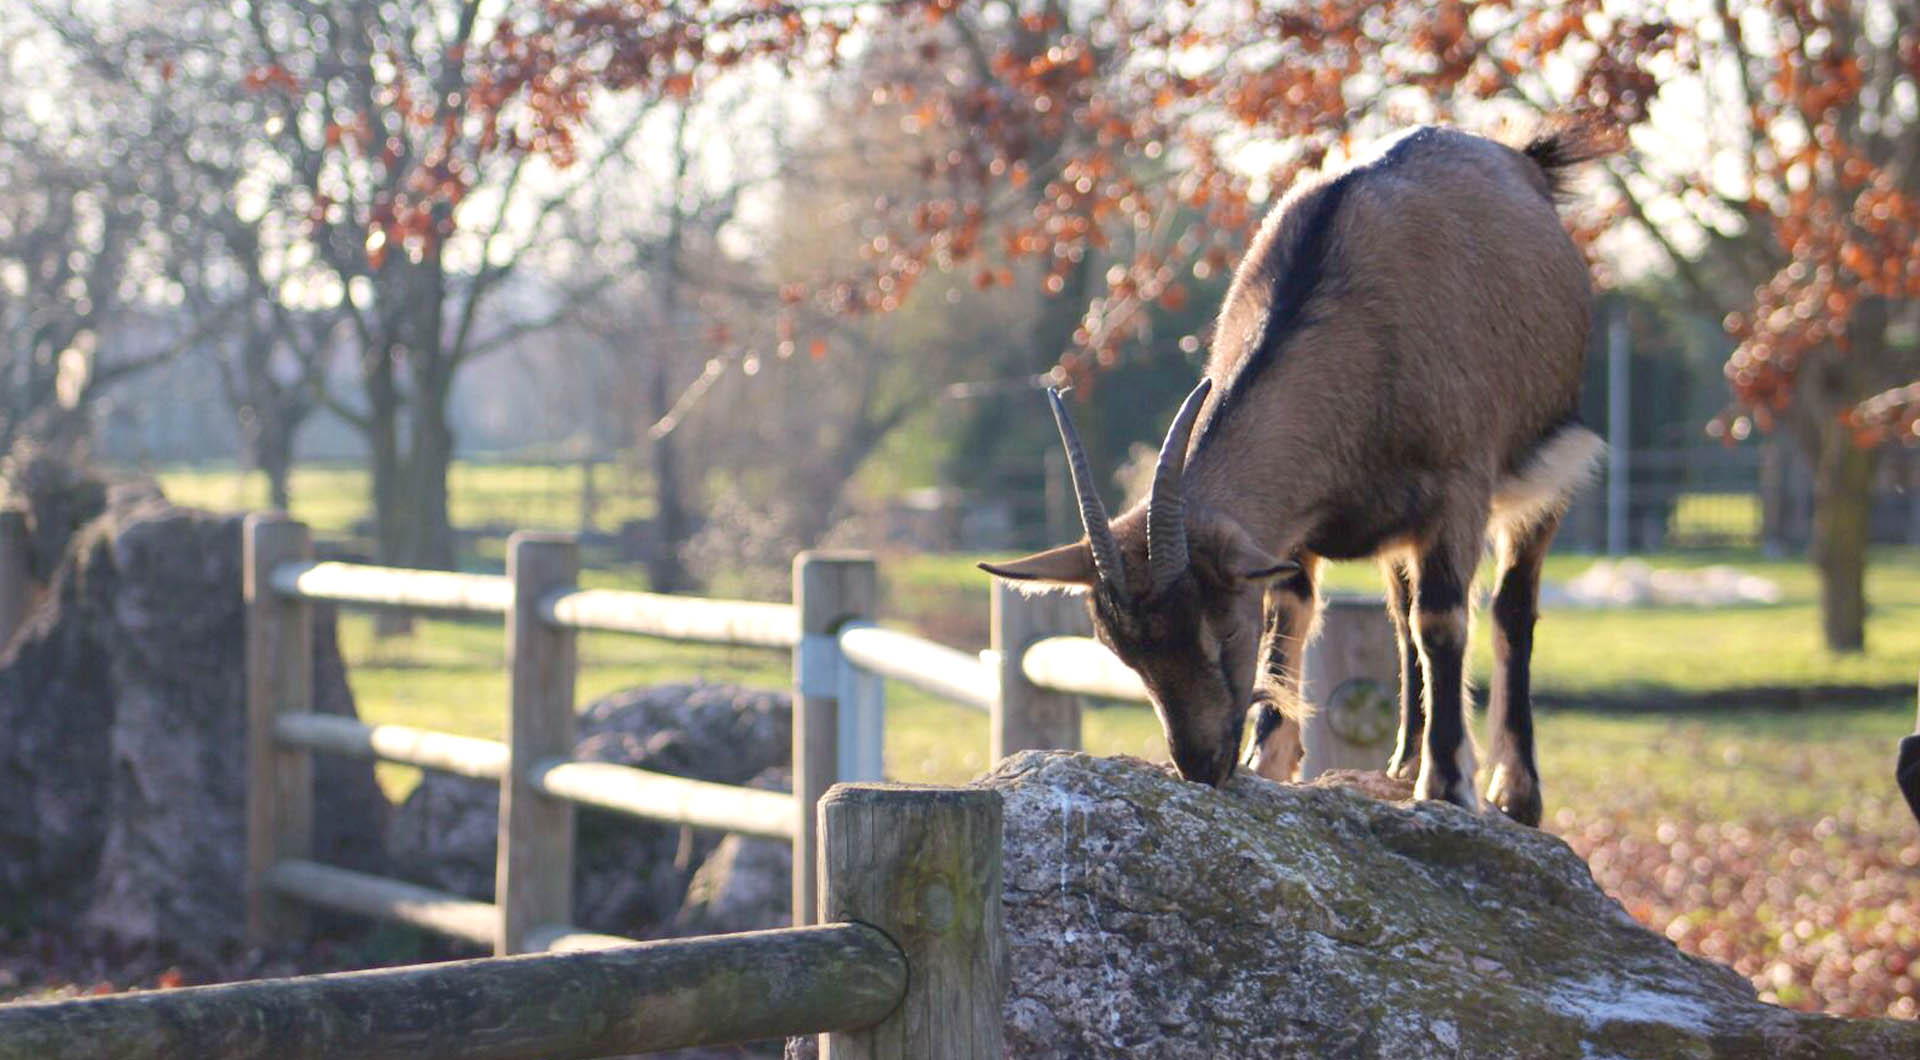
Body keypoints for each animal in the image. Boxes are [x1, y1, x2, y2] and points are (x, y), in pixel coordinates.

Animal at [983, 120, 1612, 825]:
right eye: (1122, 651)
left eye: (1223, 626)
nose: (1201, 765)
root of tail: (1527, 162)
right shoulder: (1293, 531)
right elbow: (1295, 620)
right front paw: (1273, 764)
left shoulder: (1458, 491)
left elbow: (1443, 620)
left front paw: (1449, 786)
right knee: (1400, 615)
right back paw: (1402, 762)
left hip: (1548, 468)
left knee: (1509, 608)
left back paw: (1515, 791)